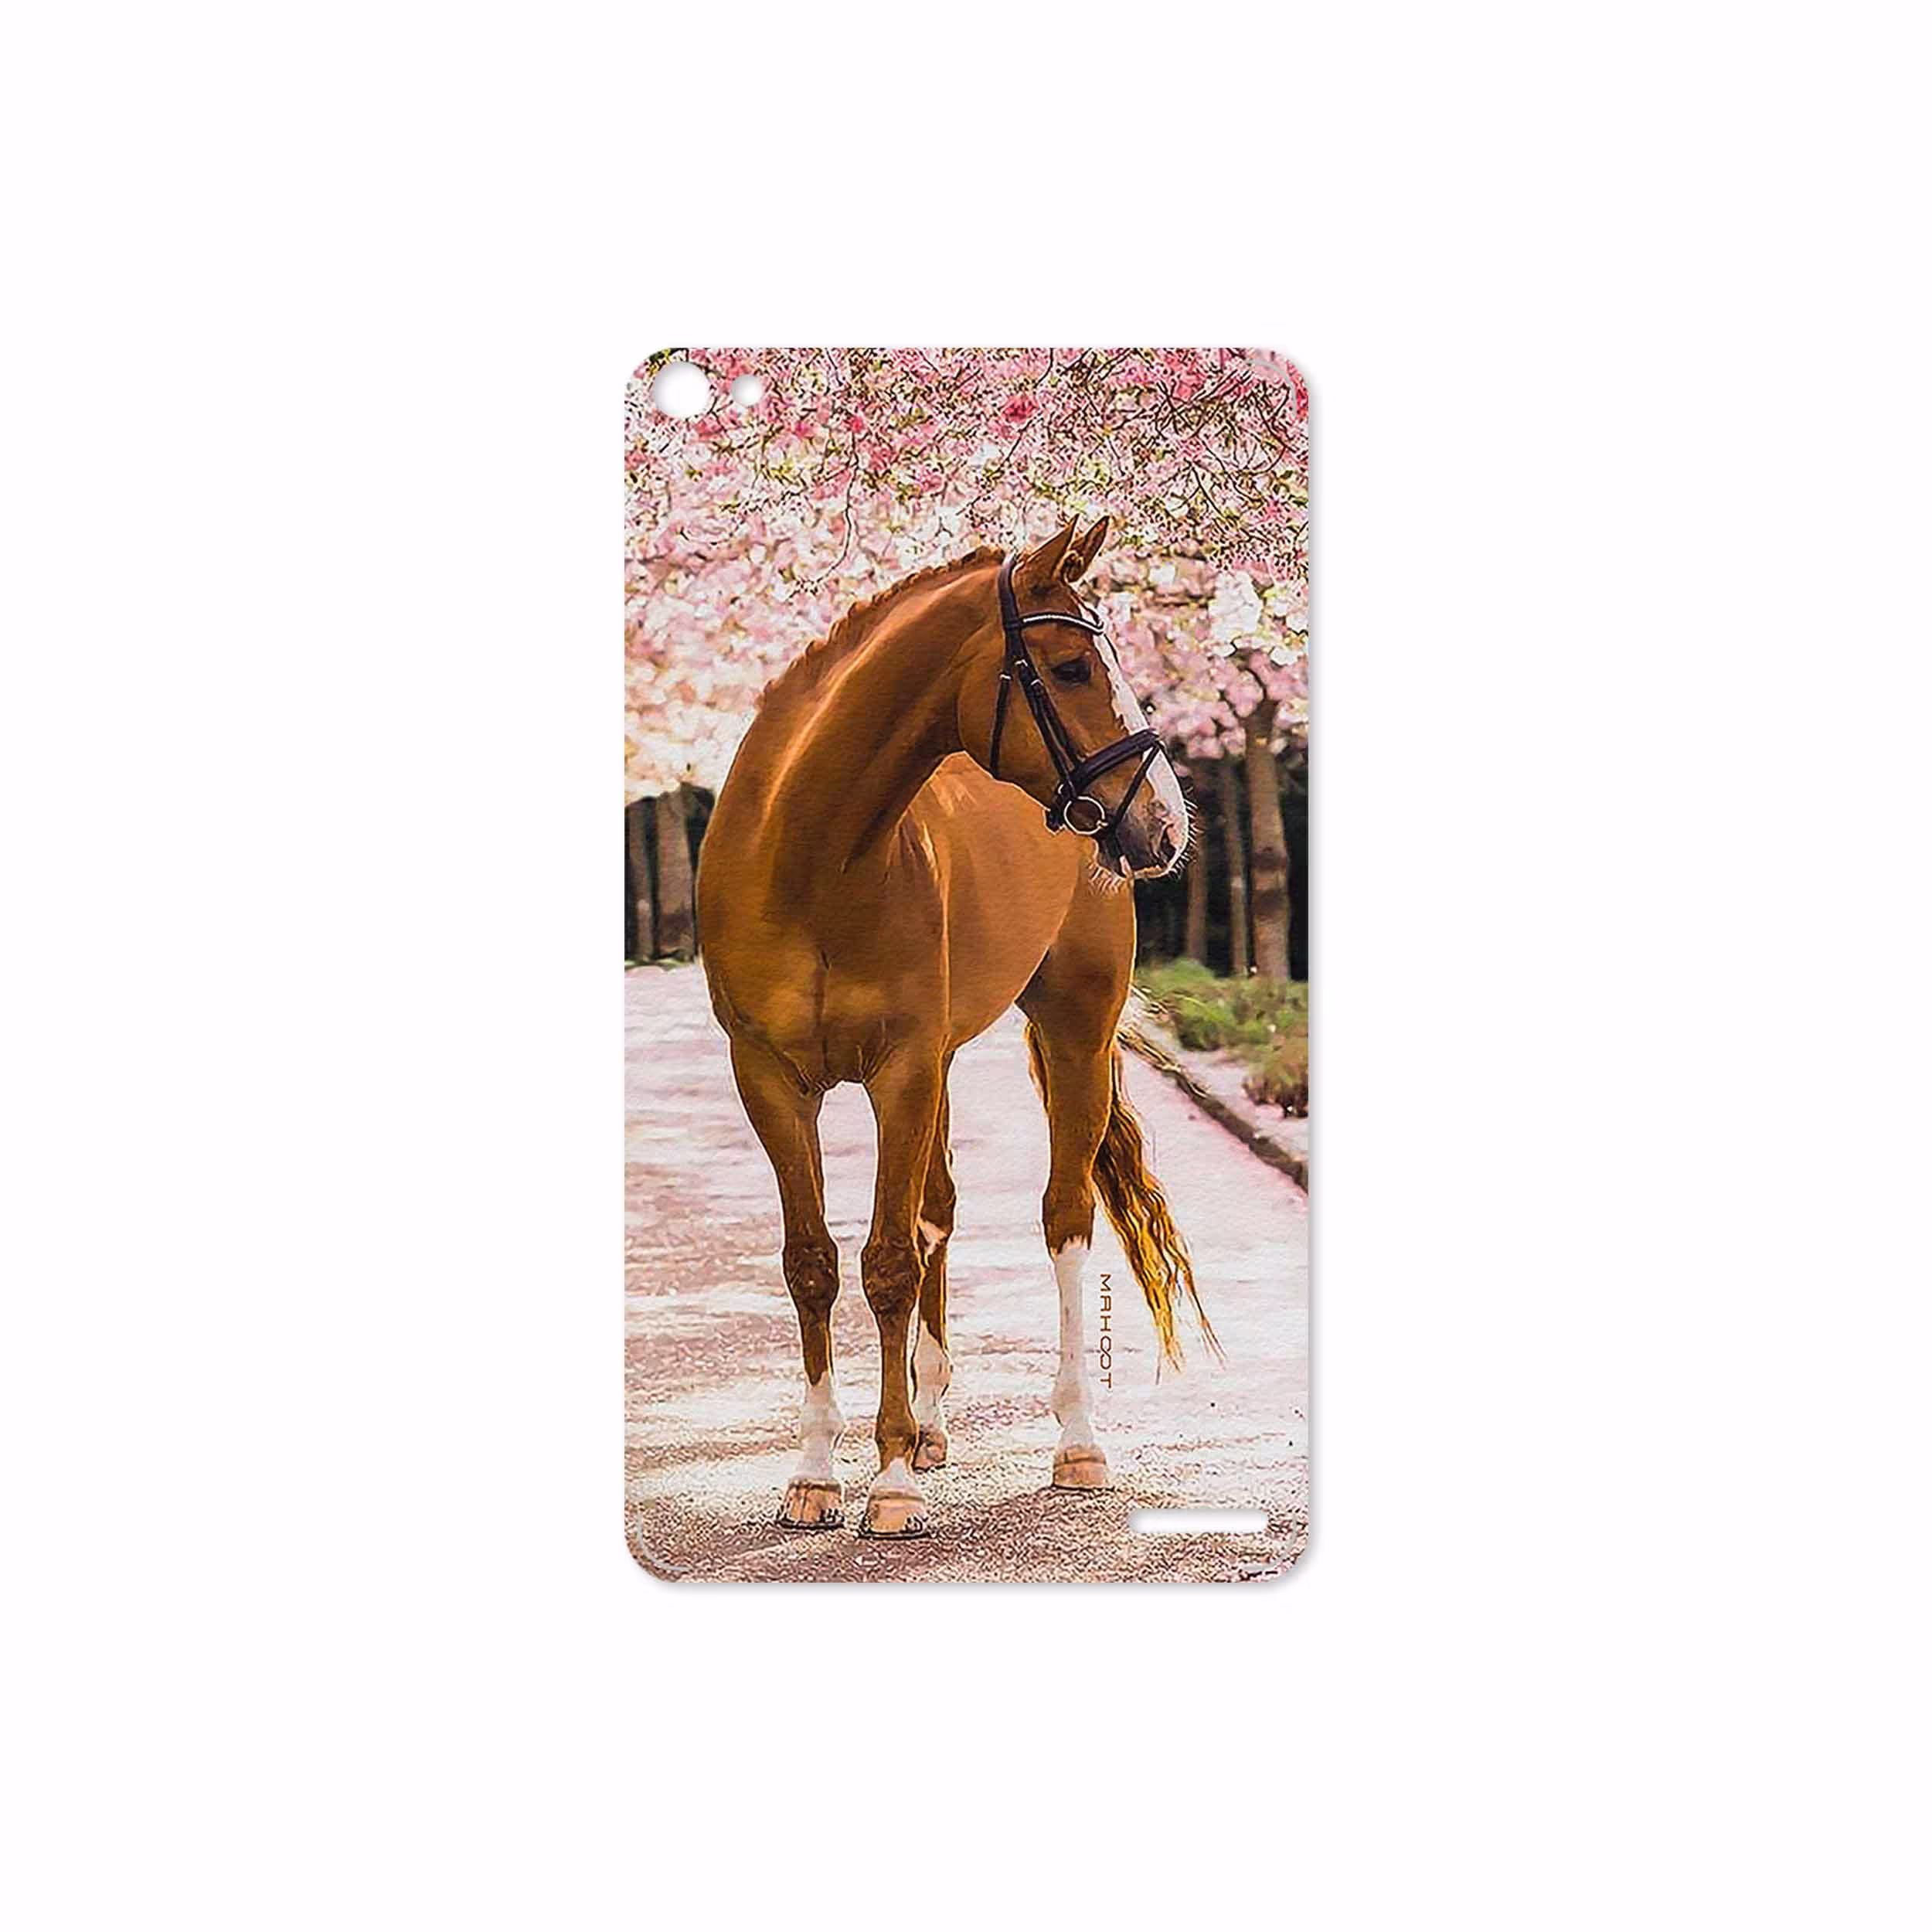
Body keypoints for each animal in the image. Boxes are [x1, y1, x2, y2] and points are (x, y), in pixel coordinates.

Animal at [696, 516, 1216, 1537]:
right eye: (1069, 667)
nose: (1166, 825)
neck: (810, 856)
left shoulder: (899, 1070)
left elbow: (889, 1261)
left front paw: (890, 1480)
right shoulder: (770, 1078)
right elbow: (813, 1262)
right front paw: (816, 1473)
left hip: (1072, 1031)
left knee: (1063, 1218)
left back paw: (1074, 1442)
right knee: (937, 1209)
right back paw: (932, 1424)